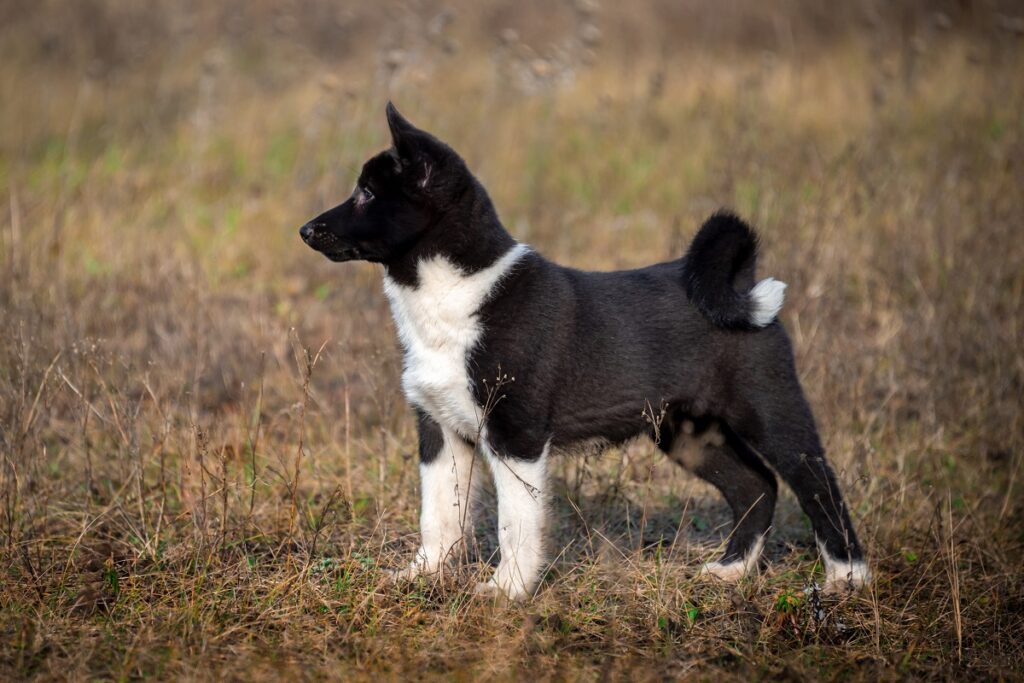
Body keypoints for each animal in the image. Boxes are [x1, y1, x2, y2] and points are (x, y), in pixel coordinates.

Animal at [299, 101, 868, 598]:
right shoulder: (440, 432)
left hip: (771, 411)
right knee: (757, 486)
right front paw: (425, 575)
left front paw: (507, 591)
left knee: (817, 485)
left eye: (366, 193)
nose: (306, 230)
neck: (458, 288)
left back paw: (847, 579)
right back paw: (732, 570)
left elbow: (515, 523)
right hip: (689, 432)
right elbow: (438, 515)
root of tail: (741, 285)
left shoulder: (516, 436)